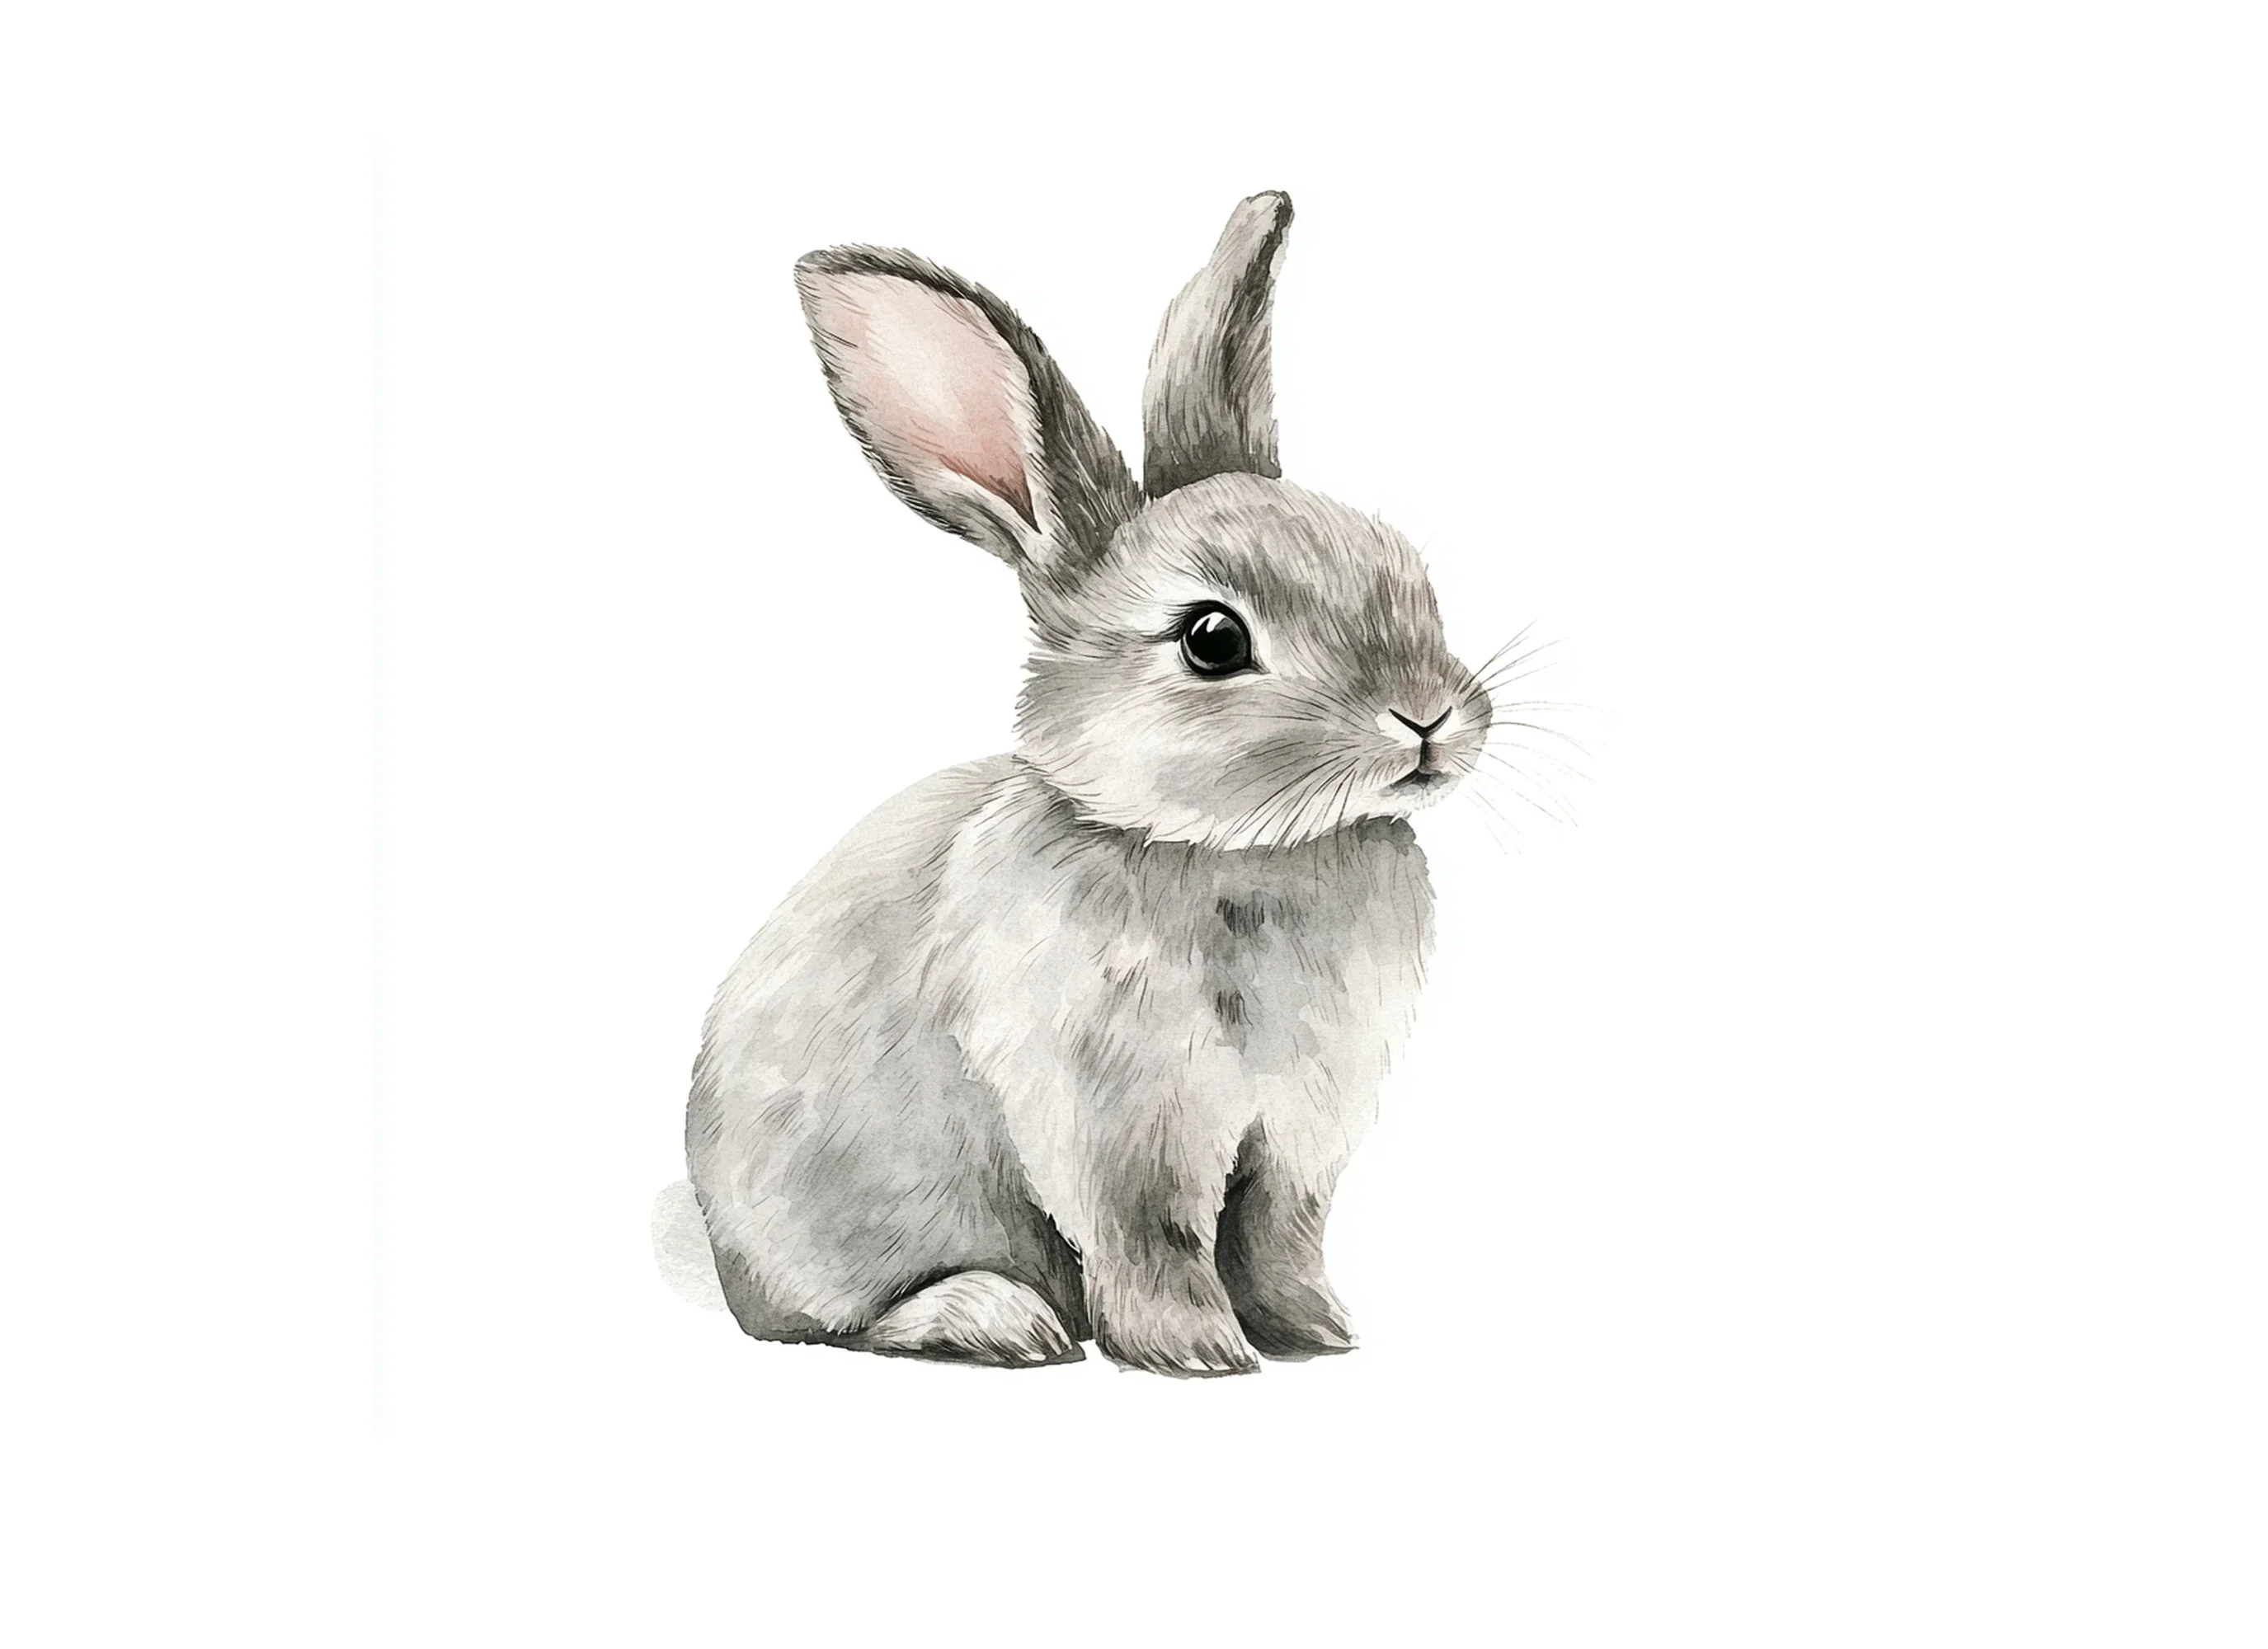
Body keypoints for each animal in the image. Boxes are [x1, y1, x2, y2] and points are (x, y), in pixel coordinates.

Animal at [683, 192, 1494, 1376]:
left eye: (1401, 568)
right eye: (1211, 639)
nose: (1430, 717)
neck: (1228, 849)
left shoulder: (1294, 1138)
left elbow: (1281, 1237)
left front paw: (1317, 1331)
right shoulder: (1118, 1127)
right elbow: (1154, 1239)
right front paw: (1198, 1353)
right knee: (835, 1322)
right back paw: (994, 1315)